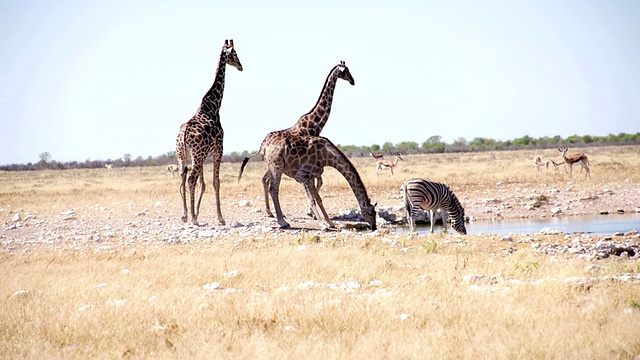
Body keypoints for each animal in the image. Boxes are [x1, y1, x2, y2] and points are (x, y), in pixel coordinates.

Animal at [175, 38, 242, 225]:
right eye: (235, 54)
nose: (241, 66)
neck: (213, 106)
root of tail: (183, 134)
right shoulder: (219, 150)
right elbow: (215, 182)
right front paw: (220, 218)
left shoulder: (206, 155)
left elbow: (203, 183)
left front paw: (197, 212)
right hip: (197, 155)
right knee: (191, 179)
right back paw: (193, 219)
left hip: (183, 155)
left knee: (183, 177)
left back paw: (185, 215)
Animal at [240, 61, 356, 217]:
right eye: (346, 71)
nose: (353, 81)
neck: (313, 123)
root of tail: (262, 144)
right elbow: (316, 182)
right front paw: (311, 212)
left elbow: (318, 182)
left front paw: (312, 212)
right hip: (275, 164)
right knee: (268, 181)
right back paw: (274, 212)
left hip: (272, 164)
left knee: (265, 179)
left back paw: (271, 212)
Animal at [240, 135, 380, 231]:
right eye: (369, 213)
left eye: (376, 213)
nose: (374, 227)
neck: (327, 156)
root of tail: (263, 146)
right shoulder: (302, 176)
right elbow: (312, 200)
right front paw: (323, 225)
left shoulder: (311, 177)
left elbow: (319, 199)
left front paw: (330, 223)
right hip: (276, 167)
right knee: (273, 189)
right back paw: (282, 222)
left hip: (273, 167)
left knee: (268, 184)